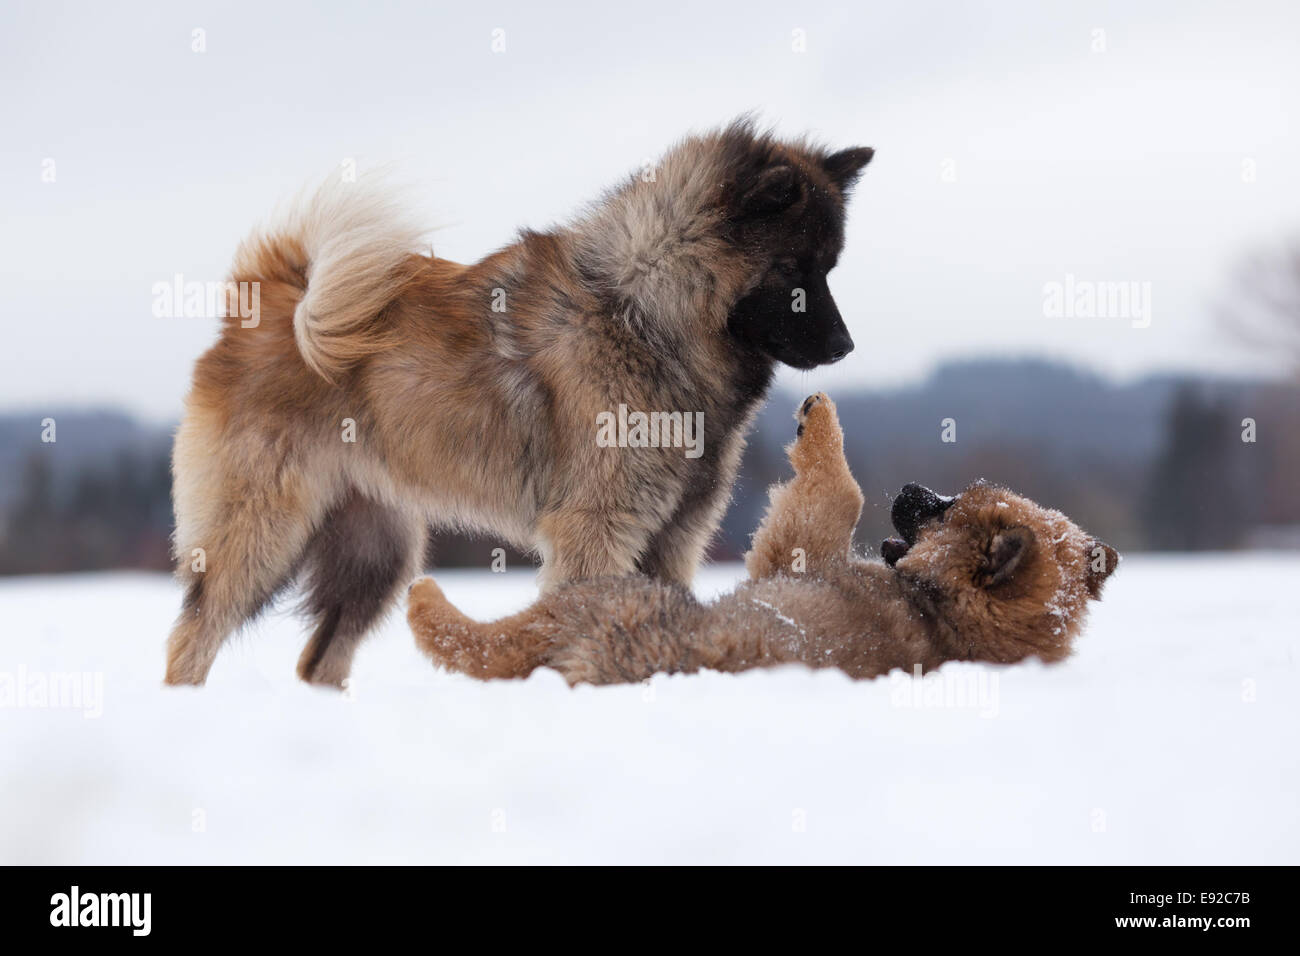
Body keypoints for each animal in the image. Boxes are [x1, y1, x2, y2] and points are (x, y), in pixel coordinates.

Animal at [165, 119, 873, 686]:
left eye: (829, 268)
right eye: (794, 269)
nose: (845, 346)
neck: (643, 312)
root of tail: (265, 304)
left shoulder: (675, 534)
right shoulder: (598, 529)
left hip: (375, 556)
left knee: (319, 661)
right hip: (263, 536)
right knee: (191, 640)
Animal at [405, 392, 1118, 686]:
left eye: (948, 510)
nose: (910, 487)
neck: (945, 615)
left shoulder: (797, 550)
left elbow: (840, 493)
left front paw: (818, 422)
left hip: (602, 596)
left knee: (476, 636)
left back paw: (425, 597)